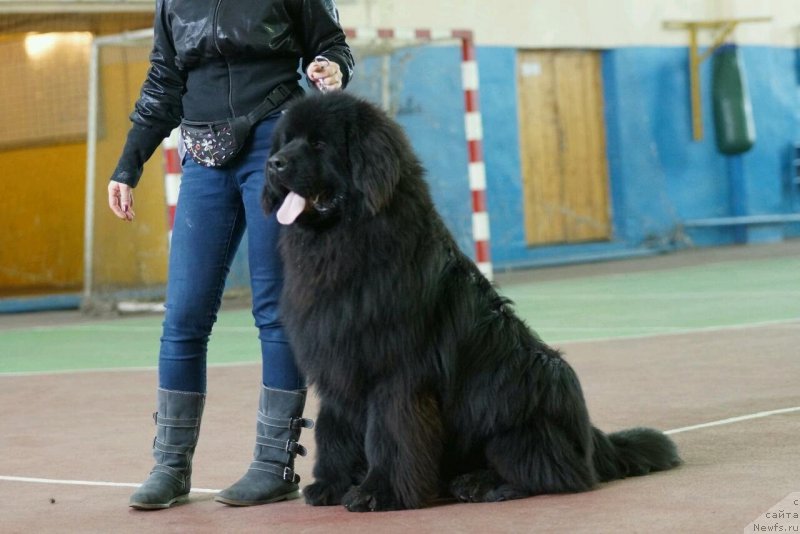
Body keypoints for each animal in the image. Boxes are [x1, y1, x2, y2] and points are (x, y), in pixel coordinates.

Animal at [264, 93, 680, 516]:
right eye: (286, 140)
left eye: (319, 144)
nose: (273, 163)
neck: (344, 240)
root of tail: (592, 441)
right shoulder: (337, 364)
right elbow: (334, 429)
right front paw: (331, 484)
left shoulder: (394, 374)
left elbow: (389, 434)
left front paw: (379, 492)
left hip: (518, 419)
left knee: (555, 473)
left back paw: (481, 484)